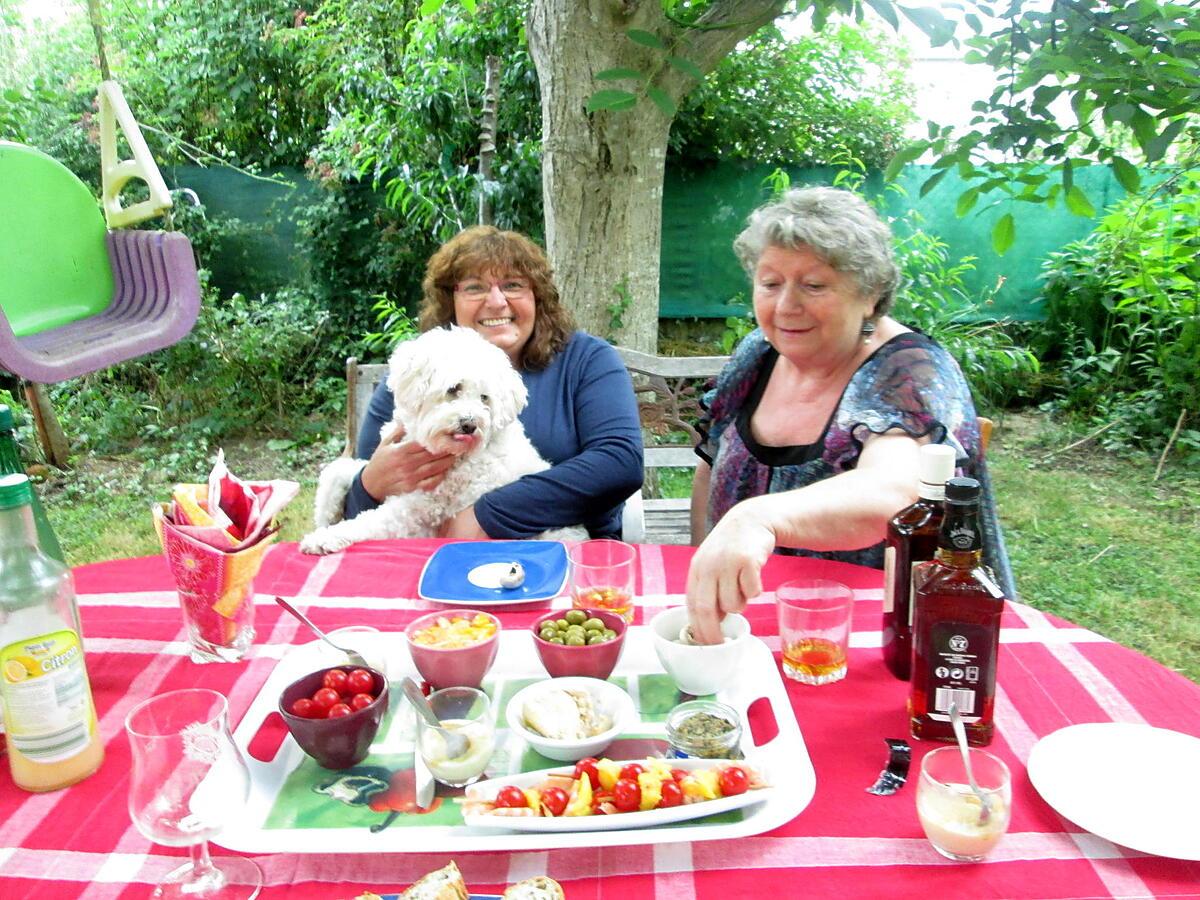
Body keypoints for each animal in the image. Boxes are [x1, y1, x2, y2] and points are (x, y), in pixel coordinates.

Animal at [302, 328, 588, 554]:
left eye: (484, 398)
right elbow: (339, 470)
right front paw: (324, 514)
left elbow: (369, 521)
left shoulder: (416, 509)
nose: (470, 424)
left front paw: (324, 538)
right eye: (454, 389)